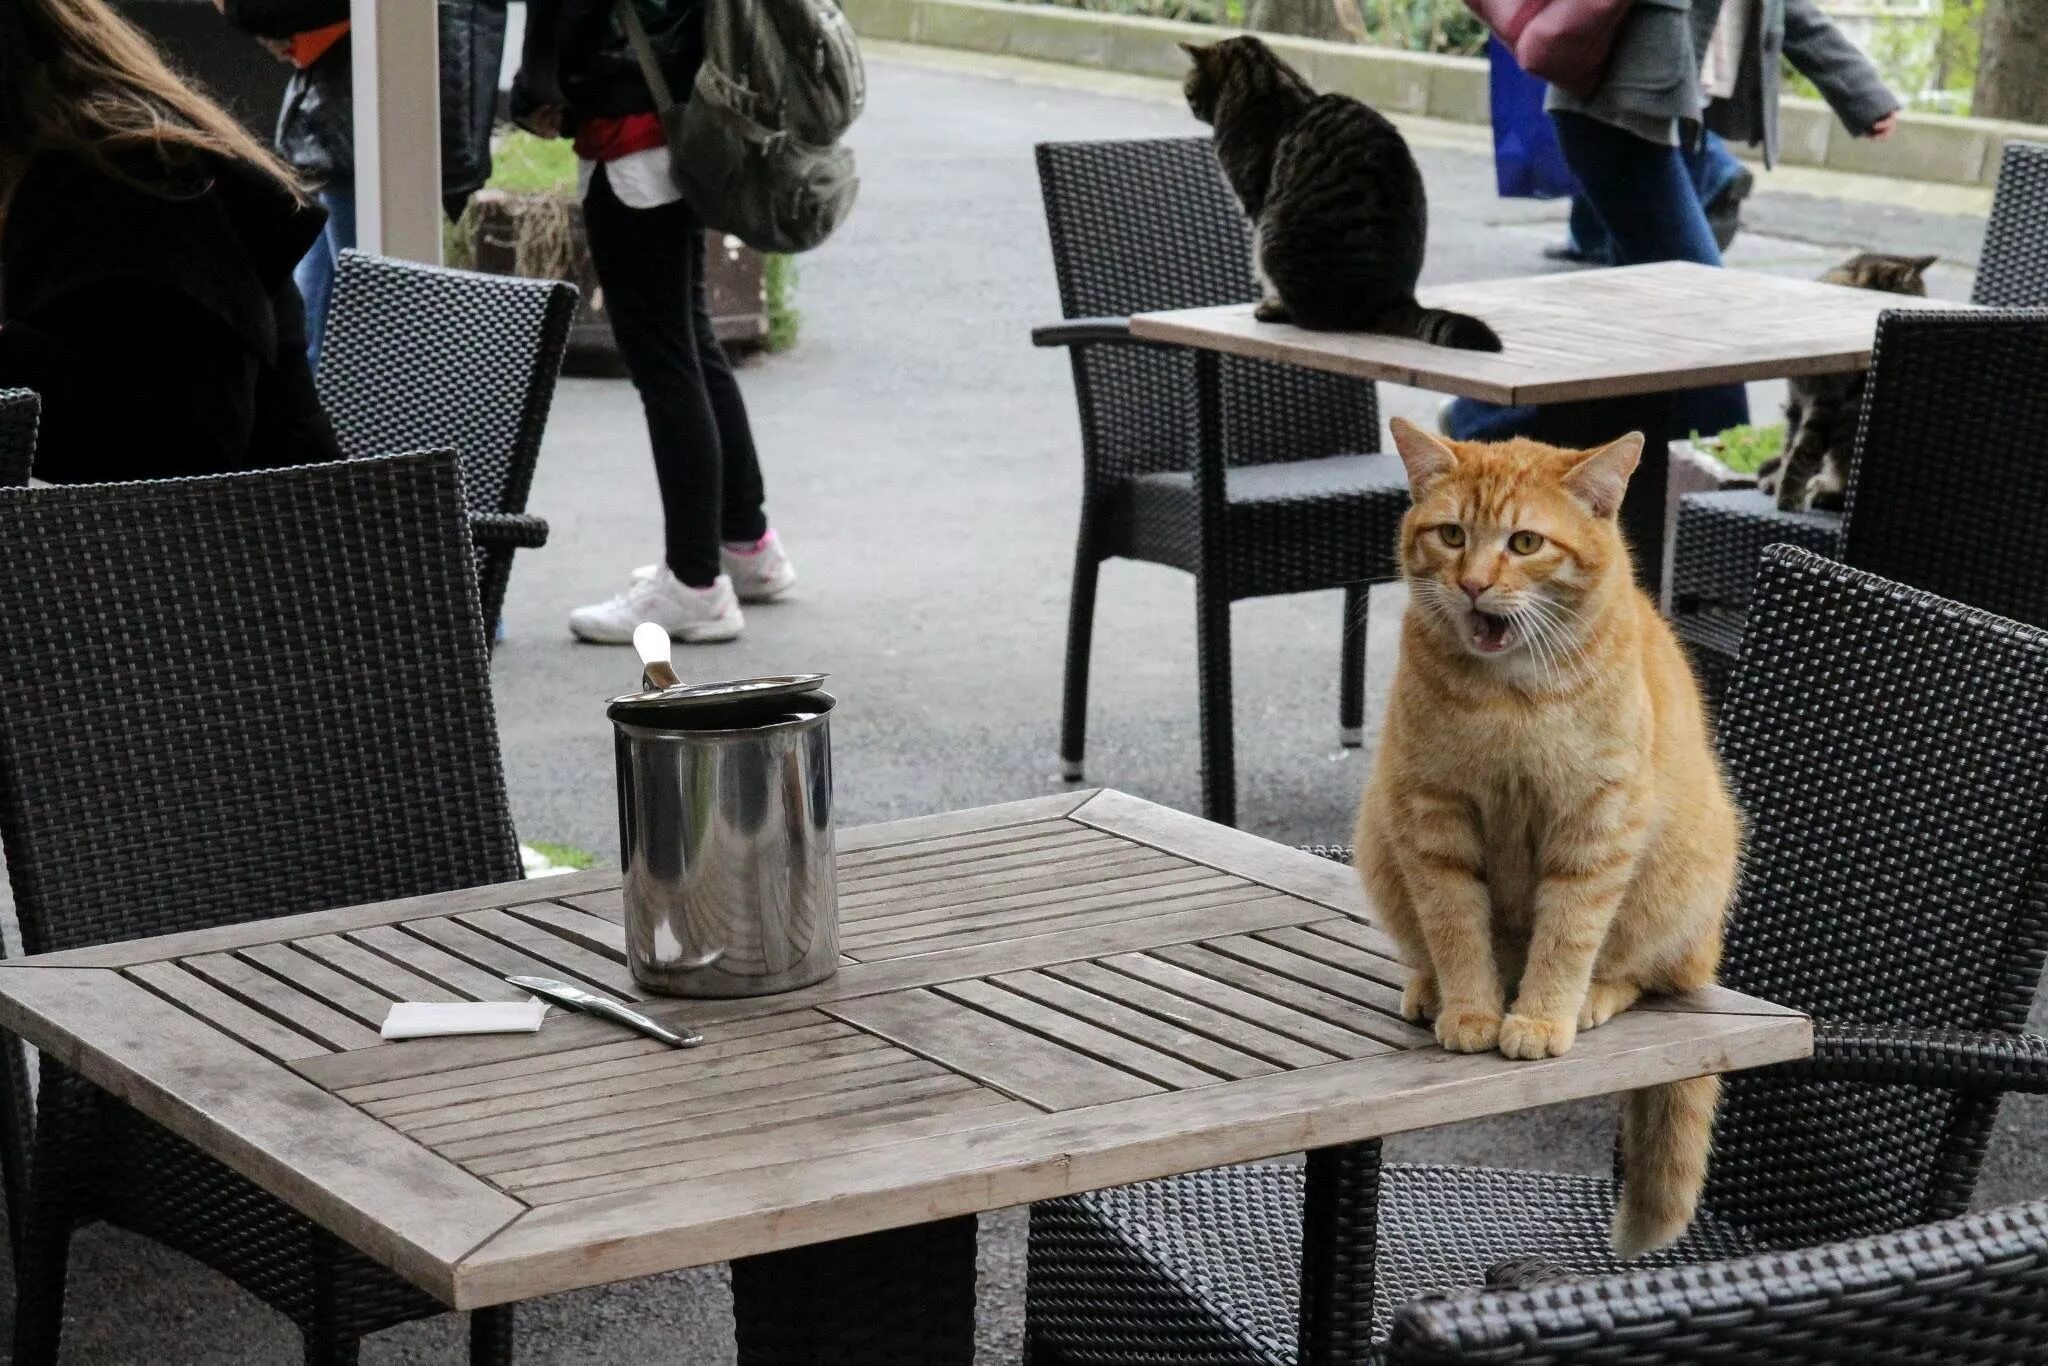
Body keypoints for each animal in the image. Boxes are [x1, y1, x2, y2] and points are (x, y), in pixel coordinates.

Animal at [1179, 36, 1499, 350]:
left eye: (1188, 90)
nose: (1190, 106)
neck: (1266, 84)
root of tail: (1395, 299)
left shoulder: (1255, 201)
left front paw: (1271, 302)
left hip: (1273, 237)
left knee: (1312, 316)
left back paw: (1277, 311)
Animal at [1359, 419, 1744, 1261]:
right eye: (1452, 535)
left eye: (1526, 543)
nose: (1472, 584)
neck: (1508, 699)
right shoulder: (1432, 813)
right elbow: (1456, 926)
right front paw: (1472, 1007)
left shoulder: (1595, 823)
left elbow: (1567, 935)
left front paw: (1538, 1017)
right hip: (1378, 837)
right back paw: (1430, 986)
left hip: (1676, 883)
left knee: (1650, 972)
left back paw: (1594, 997)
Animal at [1753, 250, 1941, 511]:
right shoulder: (1795, 400)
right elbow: (1788, 447)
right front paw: (1781, 483)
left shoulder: (1826, 404)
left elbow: (1803, 452)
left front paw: (1788, 497)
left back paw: (1825, 493)